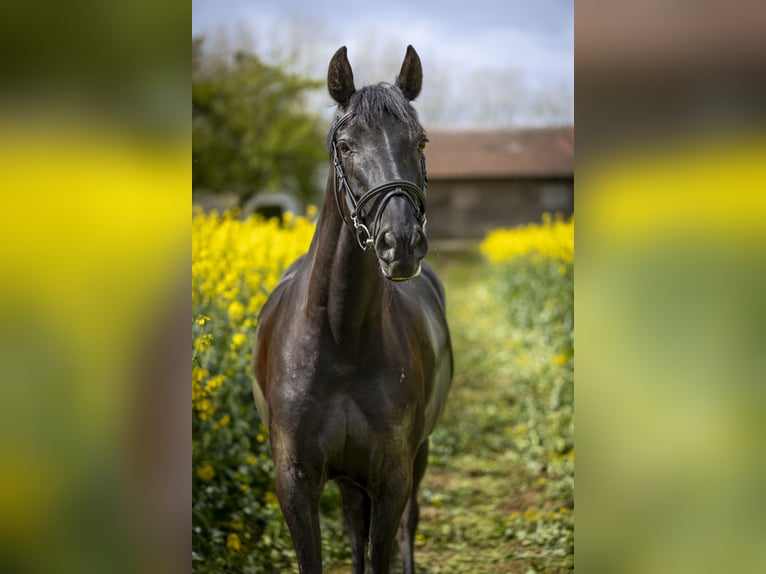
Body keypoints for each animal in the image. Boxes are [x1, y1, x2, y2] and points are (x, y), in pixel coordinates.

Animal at [255, 46, 452, 574]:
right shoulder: (296, 484)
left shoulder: (391, 478)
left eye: (420, 140)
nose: (399, 244)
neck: (340, 338)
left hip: (418, 454)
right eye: (344, 146)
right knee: (351, 519)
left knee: (408, 521)